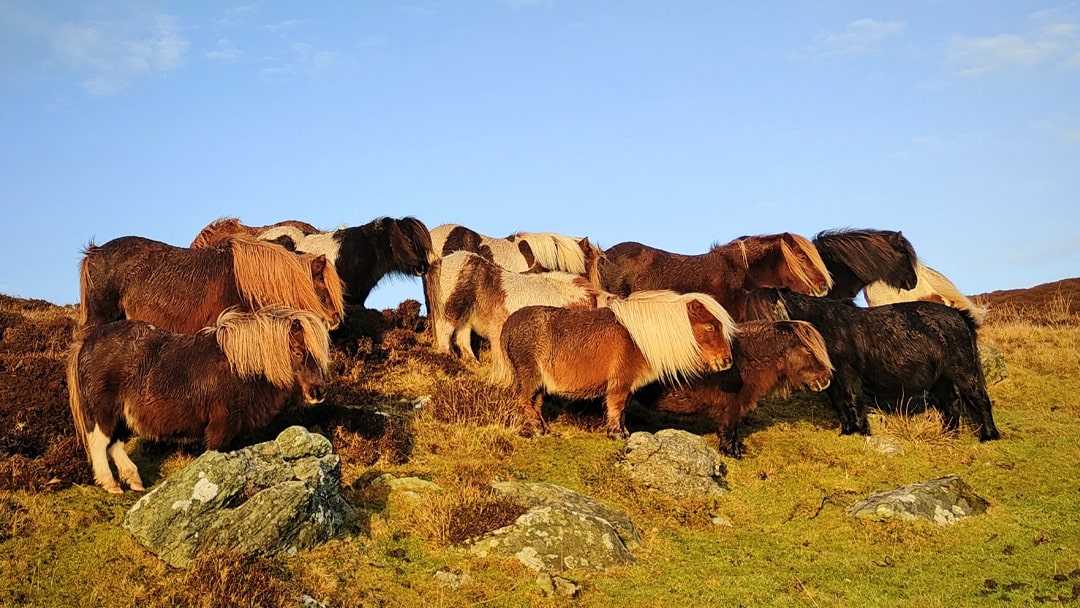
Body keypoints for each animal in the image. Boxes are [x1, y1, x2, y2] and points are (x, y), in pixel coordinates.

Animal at [66, 306, 331, 493]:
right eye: (298, 352)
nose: (318, 392)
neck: (239, 367)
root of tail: (87, 342)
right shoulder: (221, 425)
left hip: (121, 416)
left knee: (115, 444)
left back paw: (135, 481)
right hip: (103, 413)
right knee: (99, 443)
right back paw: (111, 485)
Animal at [424, 250, 616, 361]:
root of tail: (439, 262)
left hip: (466, 314)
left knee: (462, 336)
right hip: (452, 308)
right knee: (445, 329)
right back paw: (446, 355)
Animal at [493, 290, 737, 438]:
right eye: (710, 327)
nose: (727, 361)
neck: (638, 339)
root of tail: (508, 326)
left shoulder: (628, 387)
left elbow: (624, 410)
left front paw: (623, 431)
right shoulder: (620, 384)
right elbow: (617, 407)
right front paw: (616, 433)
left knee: (534, 403)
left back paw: (542, 427)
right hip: (530, 376)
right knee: (524, 400)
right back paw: (537, 427)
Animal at [649, 320, 833, 457]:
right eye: (808, 350)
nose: (826, 379)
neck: (743, 361)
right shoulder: (731, 407)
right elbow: (729, 431)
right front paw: (730, 453)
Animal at [743, 287, 1000, 441]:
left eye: (761, 310)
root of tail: (961, 317)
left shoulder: (848, 374)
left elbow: (853, 400)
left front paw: (860, 432)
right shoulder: (832, 382)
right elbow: (840, 405)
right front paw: (847, 432)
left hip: (963, 370)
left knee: (978, 398)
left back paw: (989, 436)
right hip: (941, 379)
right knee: (951, 404)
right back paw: (948, 435)